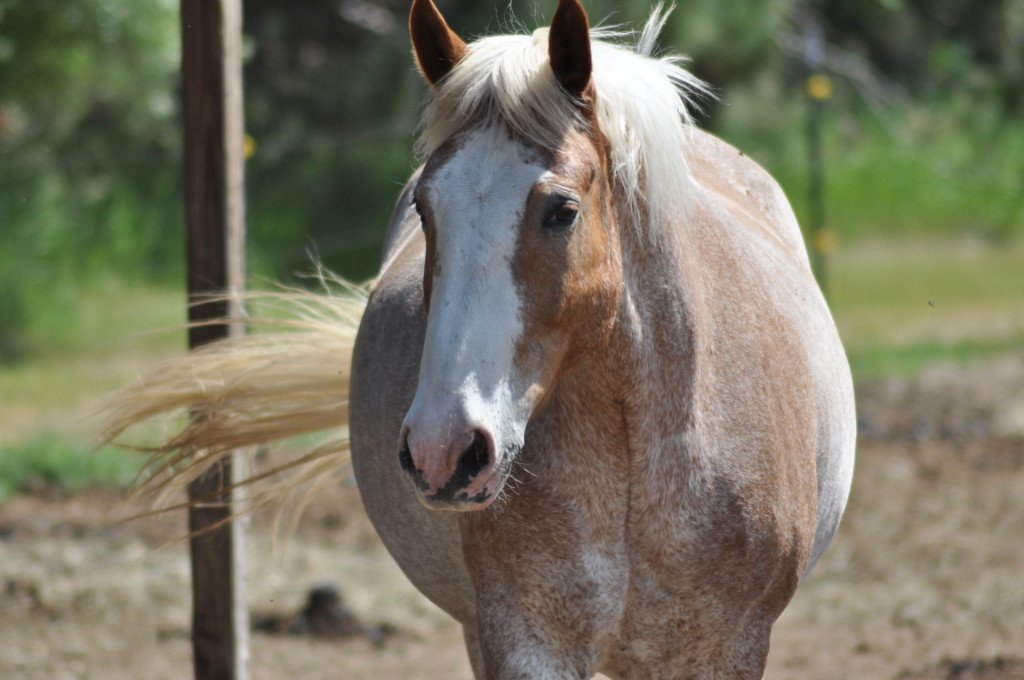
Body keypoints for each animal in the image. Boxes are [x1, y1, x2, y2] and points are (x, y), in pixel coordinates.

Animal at [103, 1, 856, 675]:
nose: (444, 449)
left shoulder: (725, 646)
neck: (639, 463)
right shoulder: (523, 643)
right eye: (425, 207)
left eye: (562, 210)